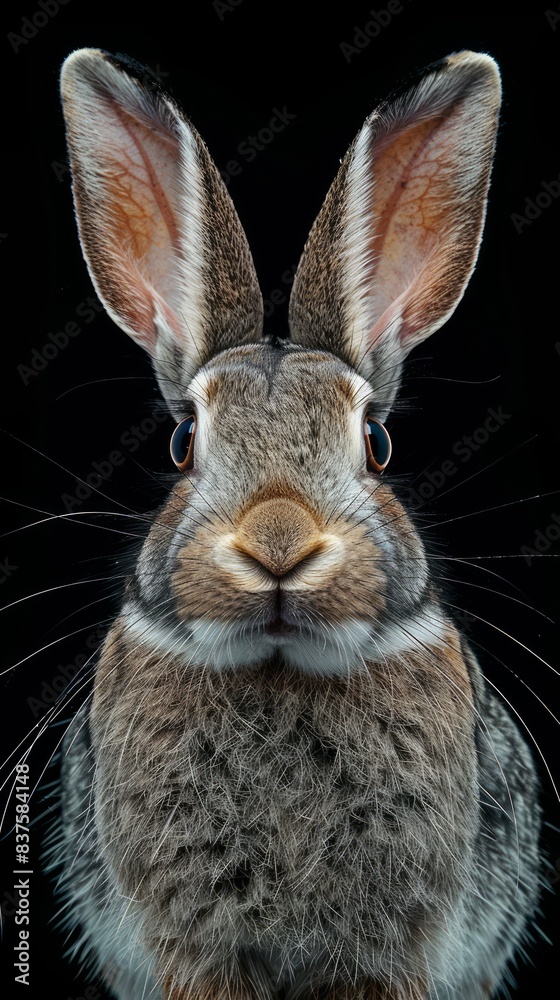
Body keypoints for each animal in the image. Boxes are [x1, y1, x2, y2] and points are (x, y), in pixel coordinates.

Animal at [51, 47, 543, 1000]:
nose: (278, 543)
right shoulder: (193, 946)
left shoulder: (390, 949)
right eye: (182, 443)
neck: (278, 668)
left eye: (378, 444)